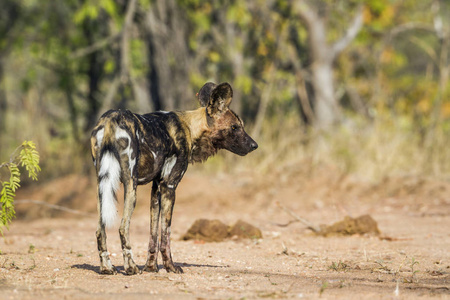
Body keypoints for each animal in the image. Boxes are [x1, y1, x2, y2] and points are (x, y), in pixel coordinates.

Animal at [90, 81, 256, 274]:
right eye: (235, 127)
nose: (254, 145)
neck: (191, 127)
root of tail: (110, 119)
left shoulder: (156, 189)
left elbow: (153, 235)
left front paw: (151, 267)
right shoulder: (169, 186)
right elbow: (166, 234)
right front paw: (170, 266)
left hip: (102, 188)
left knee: (100, 230)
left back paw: (107, 268)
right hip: (131, 187)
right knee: (123, 227)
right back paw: (131, 267)